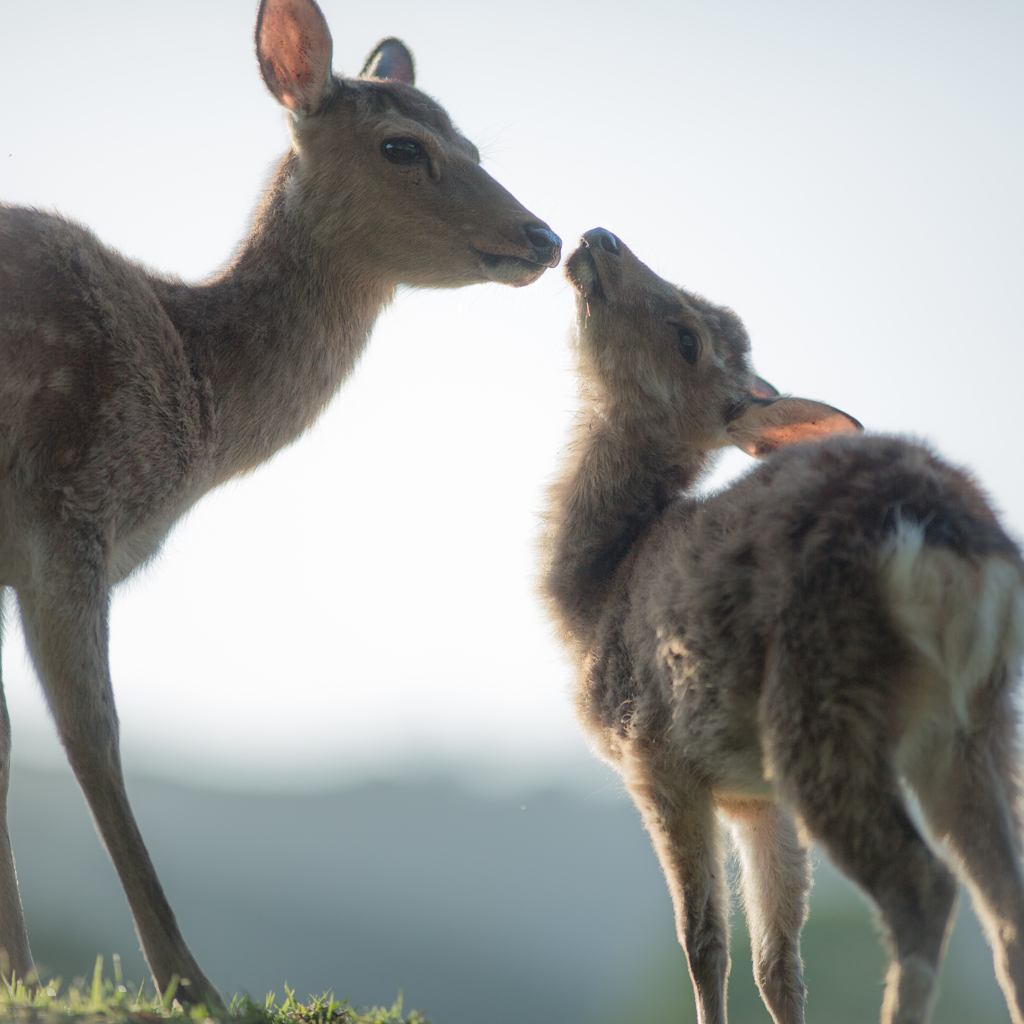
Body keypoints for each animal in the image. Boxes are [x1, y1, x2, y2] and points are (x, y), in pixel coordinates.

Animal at [0, 0, 561, 1007]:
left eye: (474, 143)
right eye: (402, 146)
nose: (544, 237)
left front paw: (21, 974)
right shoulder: (70, 517)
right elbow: (93, 735)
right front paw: (188, 988)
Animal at [544, 230, 1024, 1024]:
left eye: (687, 340)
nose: (601, 239)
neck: (591, 595)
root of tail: (945, 538)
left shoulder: (656, 756)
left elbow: (704, 940)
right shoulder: (752, 793)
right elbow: (779, 961)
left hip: (821, 698)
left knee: (923, 885)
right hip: (976, 724)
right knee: (1007, 904)